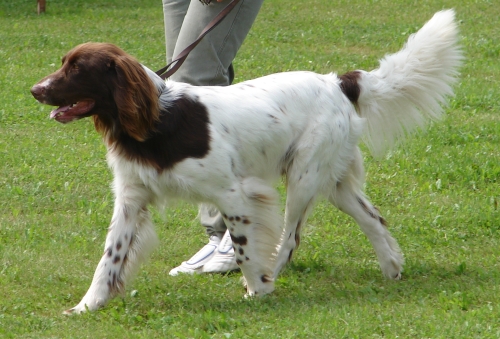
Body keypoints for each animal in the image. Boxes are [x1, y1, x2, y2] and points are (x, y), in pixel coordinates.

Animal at [31, 9, 460, 314]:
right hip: (333, 180)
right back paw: (392, 267)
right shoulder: (131, 198)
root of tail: (337, 81)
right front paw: (88, 305)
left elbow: (242, 245)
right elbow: (111, 257)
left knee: (291, 238)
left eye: (77, 69)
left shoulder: (234, 193)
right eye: (64, 62)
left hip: (303, 178)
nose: (35, 89)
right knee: (374, 219)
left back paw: (273, 274)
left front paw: (257, 289)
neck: (158, 120)